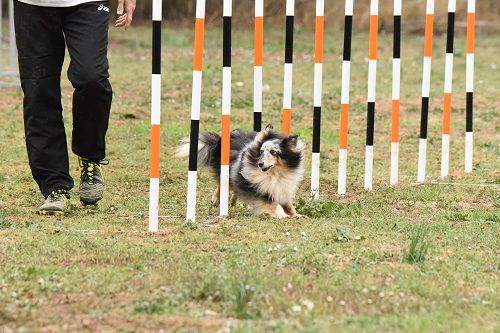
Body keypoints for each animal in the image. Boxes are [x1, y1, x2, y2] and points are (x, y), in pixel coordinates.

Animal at [178, 123, 306, 217]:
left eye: (273, 152)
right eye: (261, 151)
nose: (260, 164)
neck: (275, 173)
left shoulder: (282, 187)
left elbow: (289, 204)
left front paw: (297, 215)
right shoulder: (258, 189)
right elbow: (274, 204)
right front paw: (283, 215)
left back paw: (233, 200)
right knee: (222, 182)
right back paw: (216, 199)